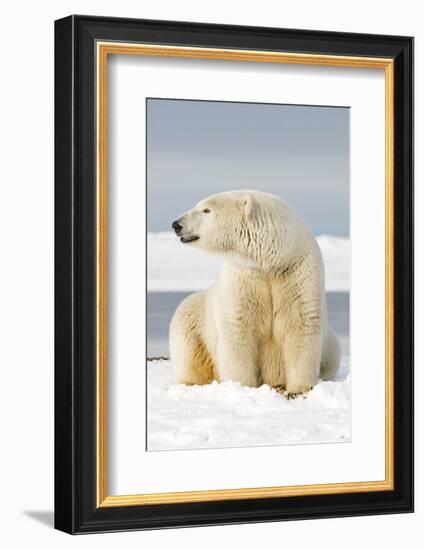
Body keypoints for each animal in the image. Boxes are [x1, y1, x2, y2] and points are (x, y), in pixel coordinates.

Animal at [169, 192, 342, 398]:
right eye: (200, 206)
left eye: (206, 210)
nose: (176, 224)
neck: (272, 261)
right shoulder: (244, 276)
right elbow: (238, 328)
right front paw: (242, 387)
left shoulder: (297, 274)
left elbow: (300, 323)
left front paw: (298, 389)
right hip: (193, 317)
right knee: (189, 350)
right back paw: (190, 382)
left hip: (331, 345)